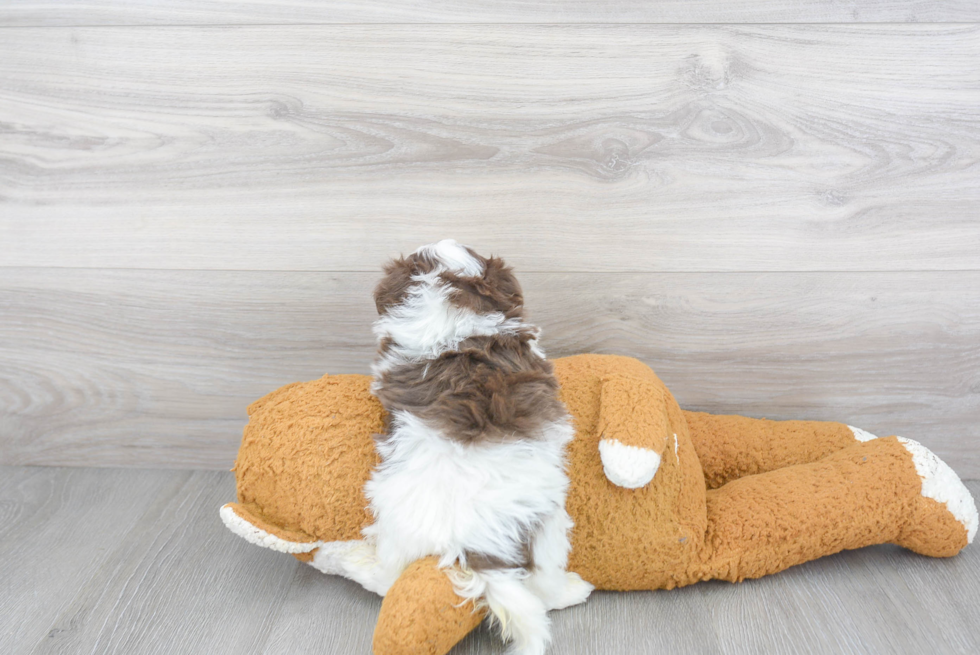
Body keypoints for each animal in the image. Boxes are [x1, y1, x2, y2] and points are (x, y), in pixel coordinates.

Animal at [360, 240, 588, 655]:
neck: (453, 308)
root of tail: (473, 543)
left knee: (388, 578)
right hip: (550, 525)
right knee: (544, 585)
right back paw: (571, 591)